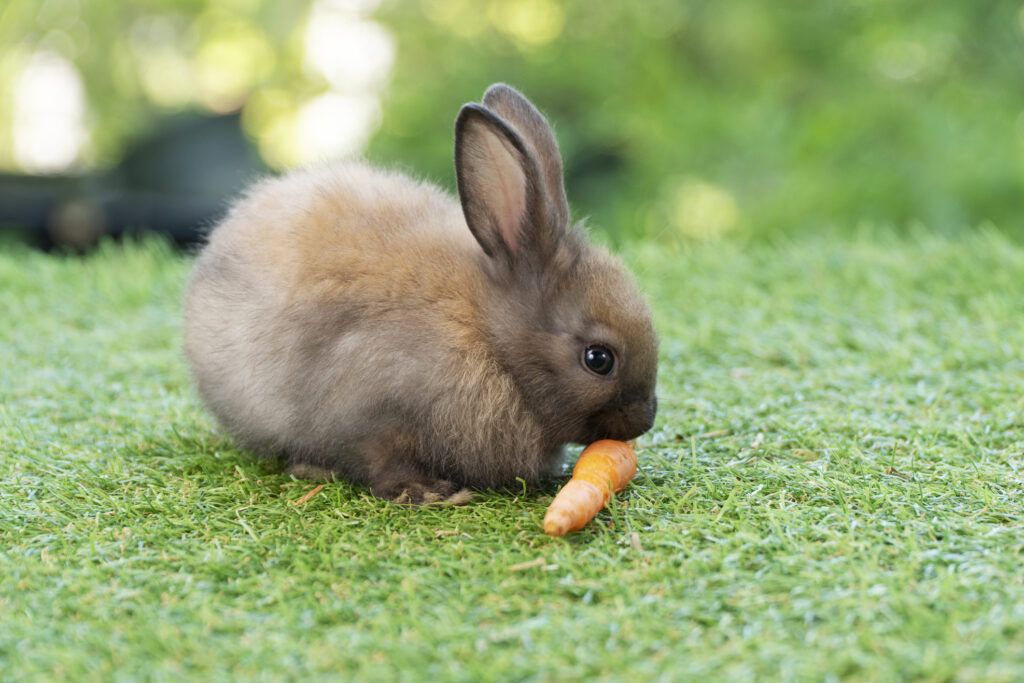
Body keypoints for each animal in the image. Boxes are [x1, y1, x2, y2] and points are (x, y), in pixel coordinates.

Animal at [183, 83, 658, 504]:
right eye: (598, 359)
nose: (645, 418)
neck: (486, 333)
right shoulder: (375, 416)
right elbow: (384, 460)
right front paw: (428, 493)